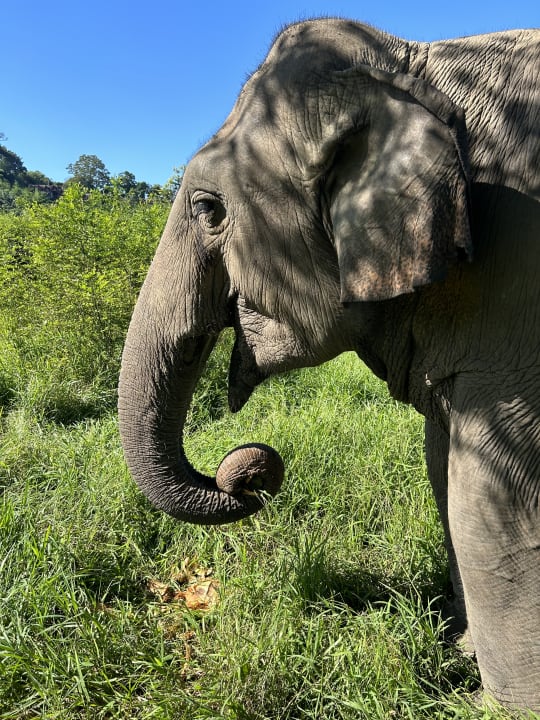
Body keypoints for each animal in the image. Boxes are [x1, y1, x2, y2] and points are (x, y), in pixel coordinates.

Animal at [118, 19, 540, 710]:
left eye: (208, 209)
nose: (248, 477)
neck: (410, 69)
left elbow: (492, 502)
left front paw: (499, 708)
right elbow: (442, 466)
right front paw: (458, 655)